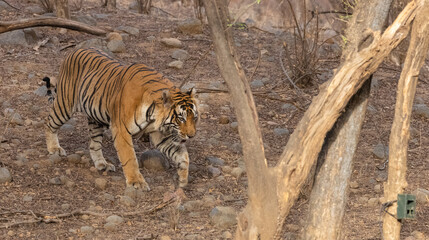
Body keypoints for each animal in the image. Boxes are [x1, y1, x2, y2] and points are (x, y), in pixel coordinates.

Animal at [43, 47, 197, 190]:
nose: (192, 135)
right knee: (49, 123)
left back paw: (102, 164)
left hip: (96, 119)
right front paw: (137, 182)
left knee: (94, 144)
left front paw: (183, 178)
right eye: (181, 118)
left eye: (194, 118)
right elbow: (129, 157)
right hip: (65, 105)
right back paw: (54, 148)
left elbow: (183, 156)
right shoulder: (121, 130)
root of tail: (75, 50)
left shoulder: (159, 134)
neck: (153, 115)